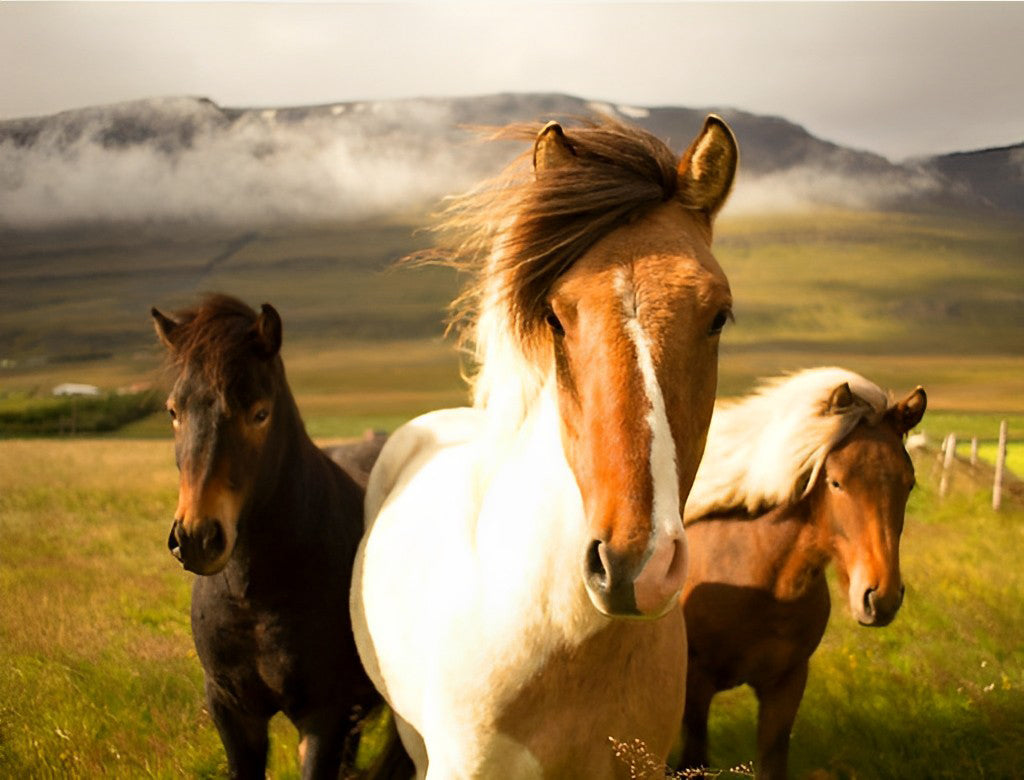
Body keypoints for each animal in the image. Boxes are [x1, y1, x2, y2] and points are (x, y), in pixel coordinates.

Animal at [152, 294, 410, 779]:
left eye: (260, 413)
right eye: (174, 411)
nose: (197, 537)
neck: (253, 596)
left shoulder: (324, 716)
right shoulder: (233, 711)